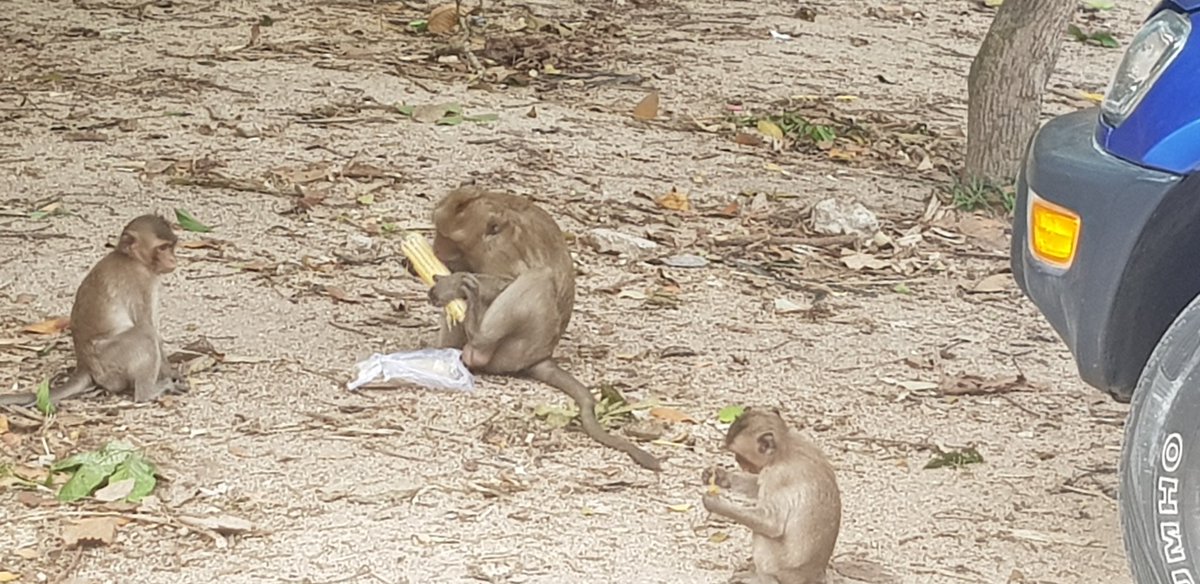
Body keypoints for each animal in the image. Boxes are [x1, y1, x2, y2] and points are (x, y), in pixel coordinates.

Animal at [0, 214, 187, 407]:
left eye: (171, 246)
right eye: (162, 248)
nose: (173, 260)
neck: (132, 258)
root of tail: (84, 365)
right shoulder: (140, 282)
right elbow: (148, 327)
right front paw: (168, 373)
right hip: (109, 360)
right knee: (145, 333)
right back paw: (148, 392)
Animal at [424, 186, 662, 472]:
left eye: (450, 239)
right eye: (439, 231)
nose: (436, 250)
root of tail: (541, 355)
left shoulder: (500, 251)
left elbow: (508, 281)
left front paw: (452, 283)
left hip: (516, 349)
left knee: (538, 279)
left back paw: (477, 339)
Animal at [700, 408, 841, 584]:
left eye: (740, 457)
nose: (739, 463)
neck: (785, 447)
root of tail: (815, 575)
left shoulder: (777, 477)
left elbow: (772, 523)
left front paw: (715, 504)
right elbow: (757, 486)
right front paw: (721, 476)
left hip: (783, 569)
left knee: (762, 534)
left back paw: (760, 578)